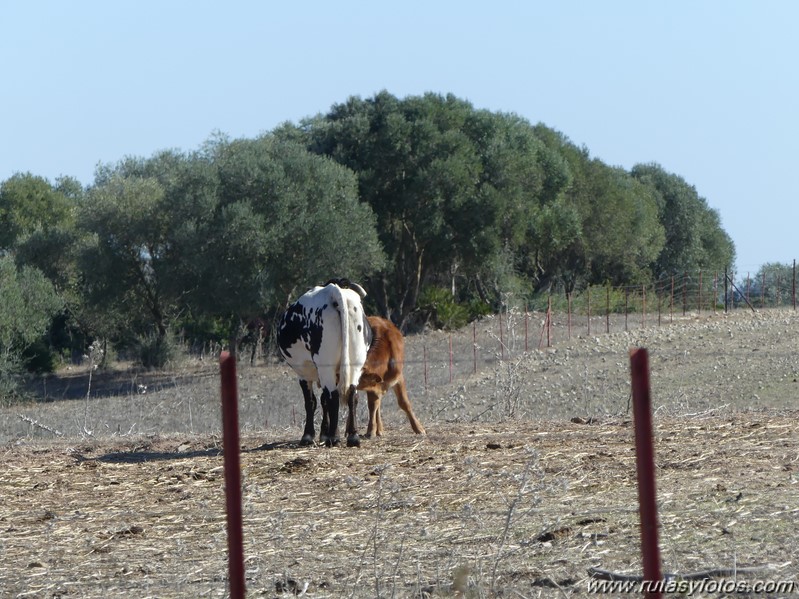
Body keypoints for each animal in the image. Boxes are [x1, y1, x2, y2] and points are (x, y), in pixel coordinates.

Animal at [276, 280, 374, 446]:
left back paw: (334, 437)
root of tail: (333, 290)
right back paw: (352, 436)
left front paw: (308, 436)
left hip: (325, 366)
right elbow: (323, 401)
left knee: (333, 396)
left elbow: (311, 402)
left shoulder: (304, 374)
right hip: (355, 364)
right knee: (351, 394)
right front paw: (323, 433)